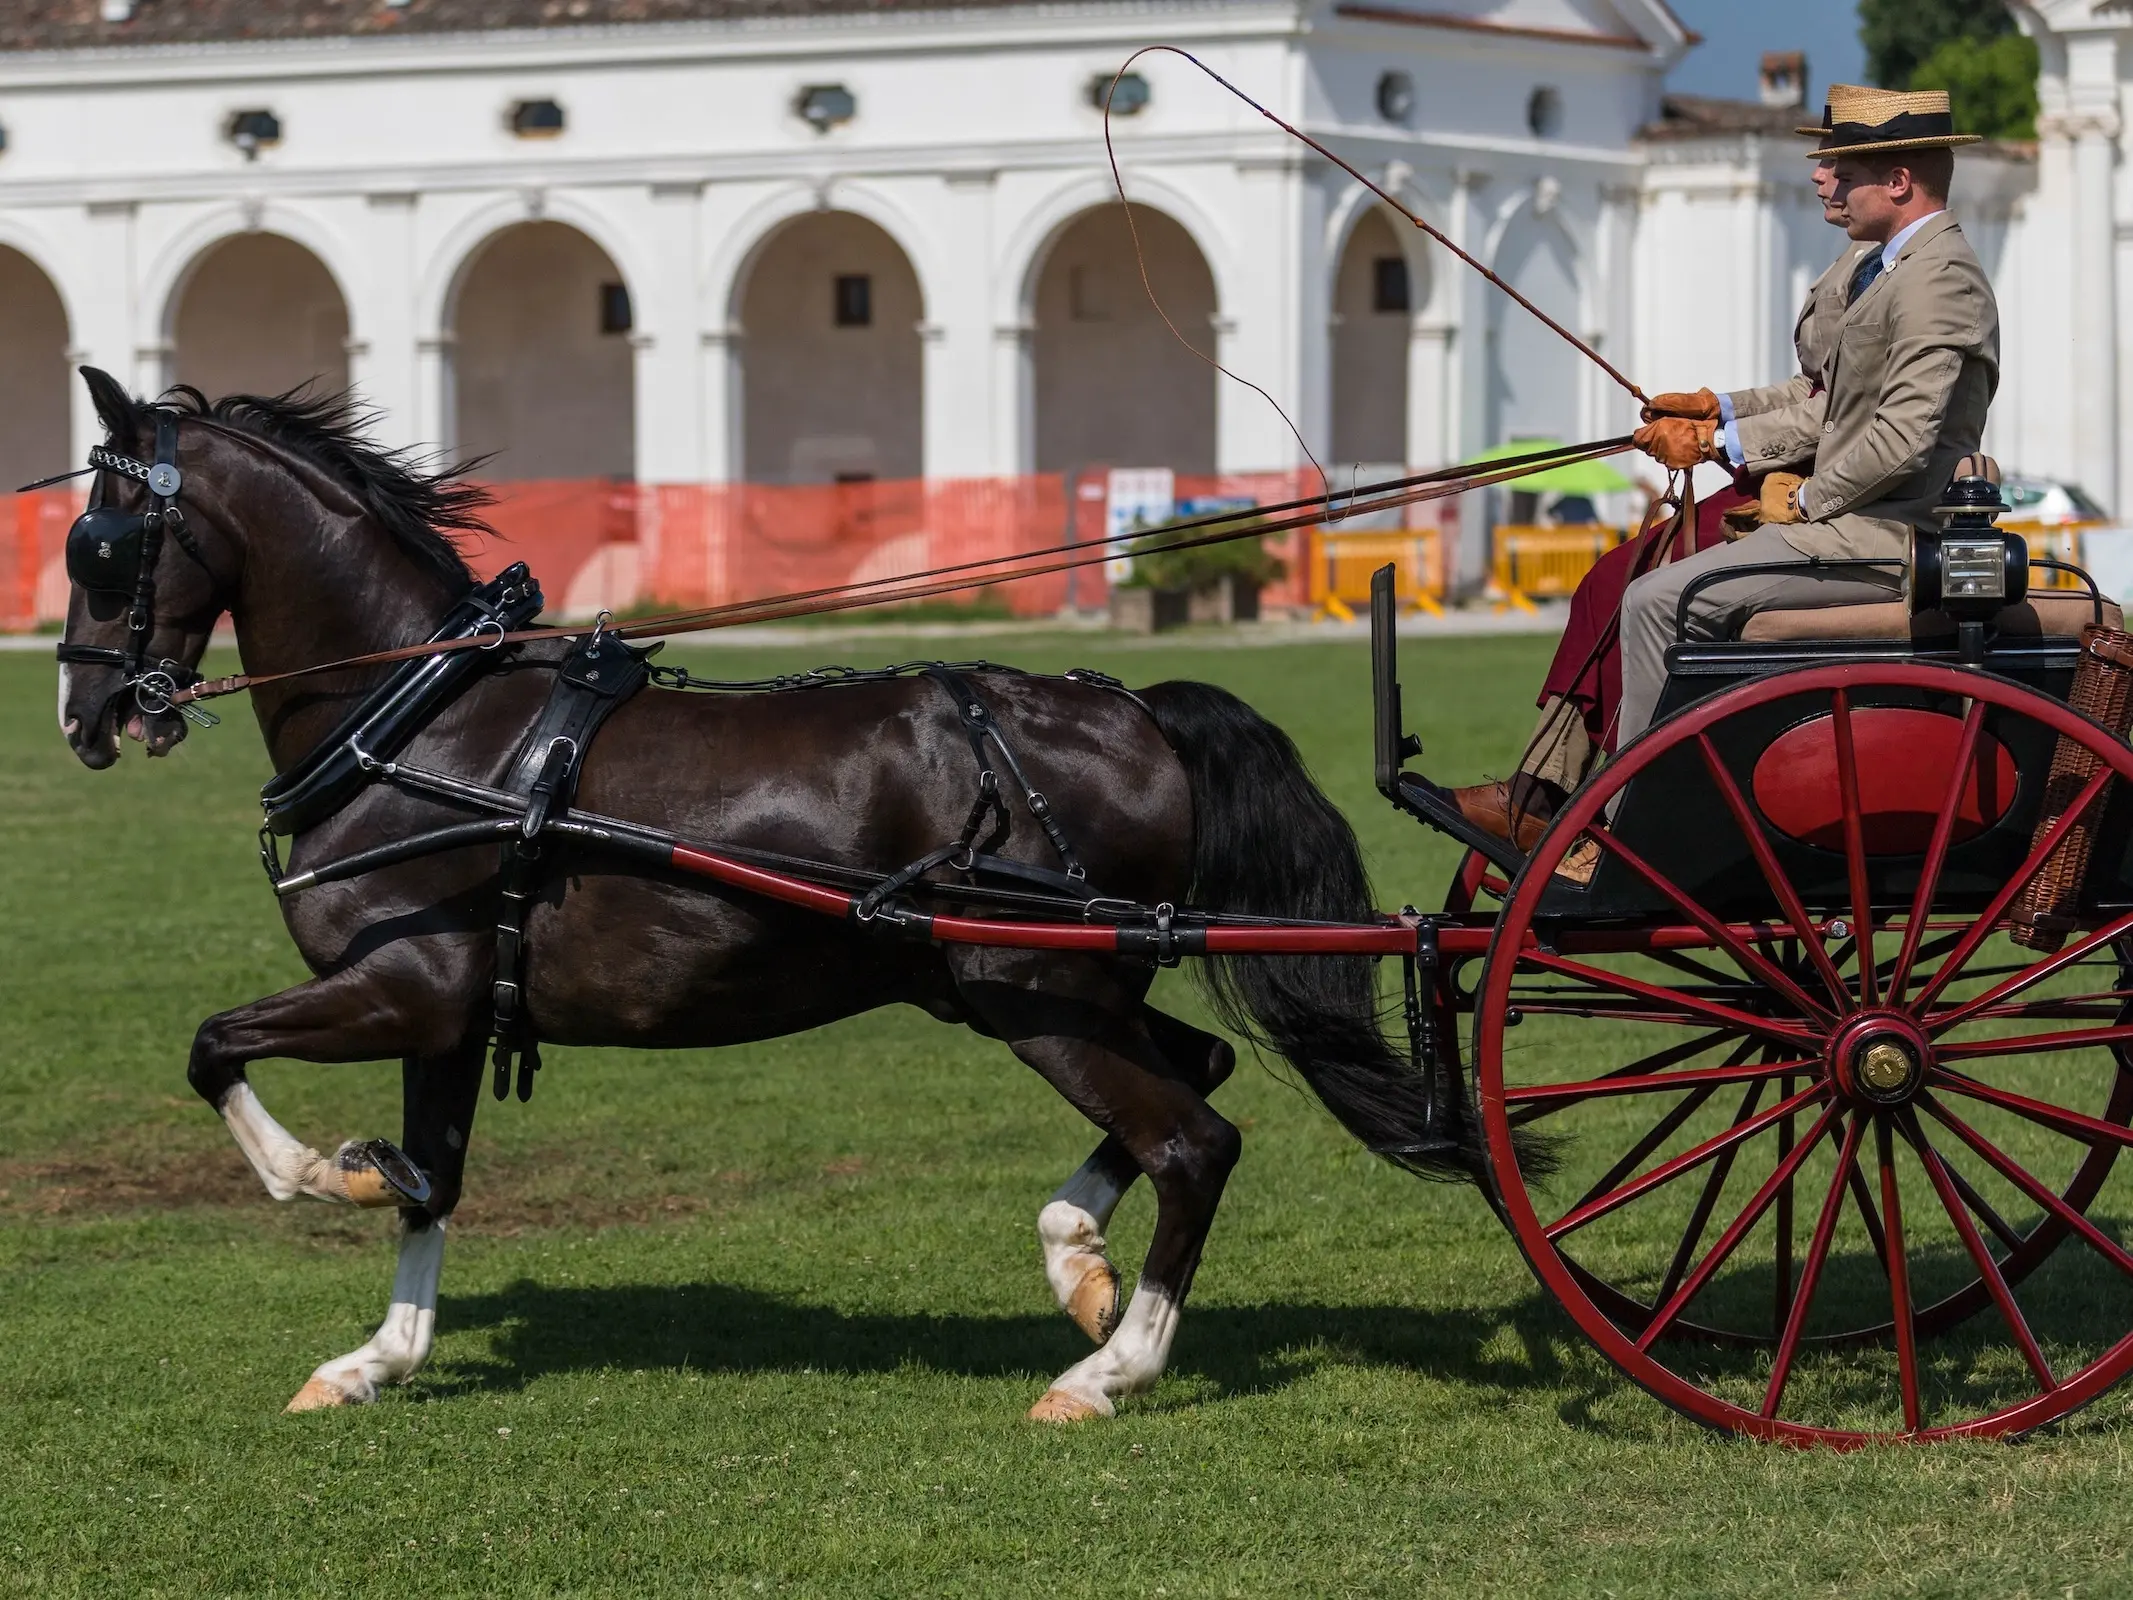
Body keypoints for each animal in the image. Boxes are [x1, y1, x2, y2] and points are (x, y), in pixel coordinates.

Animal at [54, 375, 1484, 1425]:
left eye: (101, 540)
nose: (82, 714)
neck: (422, 722)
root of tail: (1132, 707)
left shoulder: (397, 987)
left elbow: (218, 1051)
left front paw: (325, 1173)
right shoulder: (451, 1013)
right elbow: (434, 1184)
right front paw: (377, 1355)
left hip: (1035, 993)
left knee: (1195, 1137)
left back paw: (1108, 1368)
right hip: (1055, 987)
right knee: (1199, 1071)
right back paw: (1076, 1254)